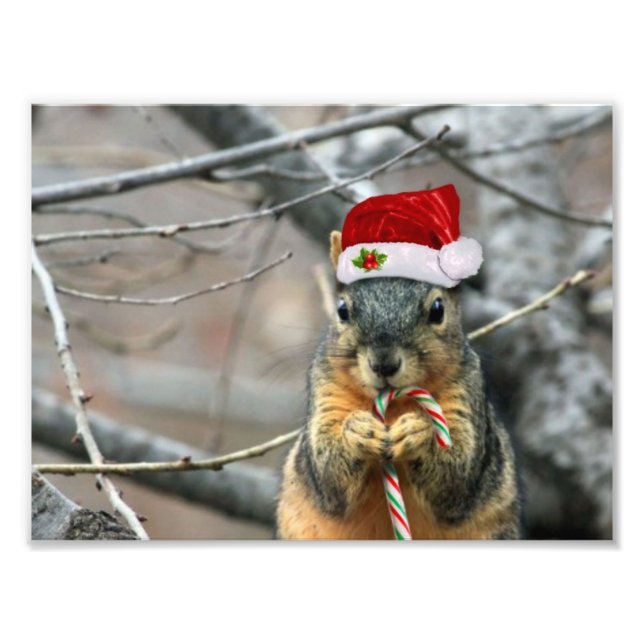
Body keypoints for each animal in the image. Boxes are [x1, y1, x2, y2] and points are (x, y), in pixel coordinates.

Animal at [276, 189, 522, 540]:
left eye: (438, 309)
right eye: (342, 310)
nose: (384, 364)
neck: (392, 406)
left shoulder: (466, 393)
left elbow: (457, 476)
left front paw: (419, 432)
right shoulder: (326, 391)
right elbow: (327, 473)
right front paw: (358, 431)